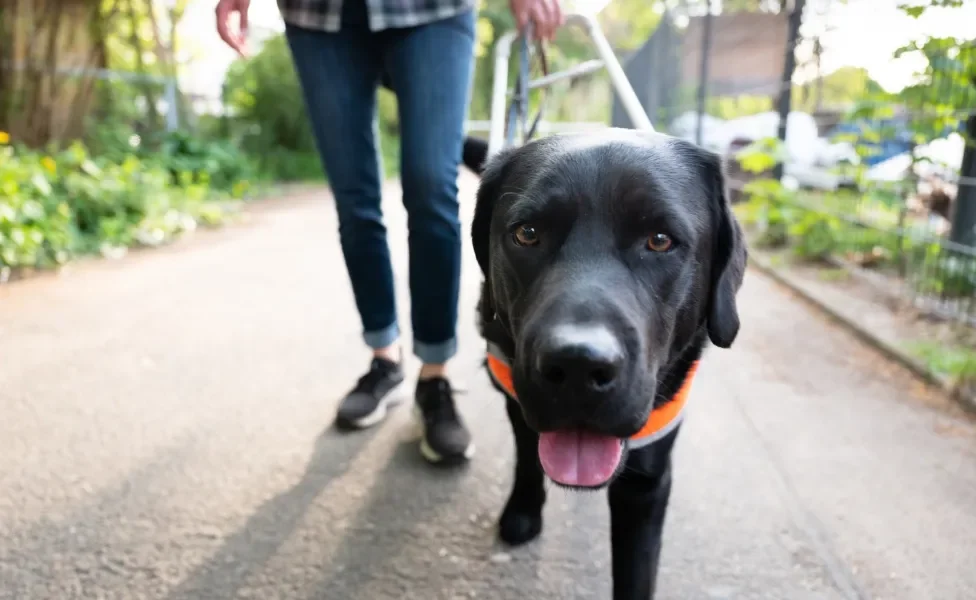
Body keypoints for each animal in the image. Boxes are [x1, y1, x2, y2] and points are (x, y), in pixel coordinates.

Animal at [466, 131, 748, 600]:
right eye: (527, 233)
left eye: (659, 239)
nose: (577, 366)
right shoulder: (514, 396)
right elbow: (527, 456)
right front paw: (523, 511)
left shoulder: (648, 484)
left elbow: (636, 573)